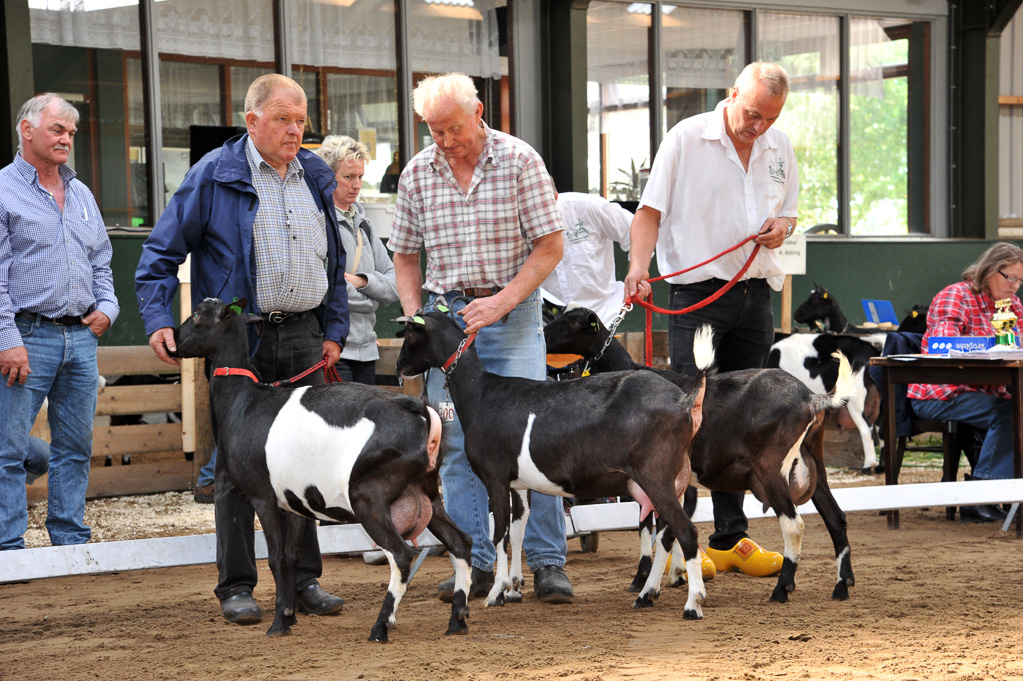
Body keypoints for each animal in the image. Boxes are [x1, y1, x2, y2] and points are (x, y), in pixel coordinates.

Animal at [169, 296, 472, 638]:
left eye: (197, 315)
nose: (172, 341)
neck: (245, 402)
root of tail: (420, 410)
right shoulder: (295, 503)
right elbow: (290, 556)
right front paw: (289, 616)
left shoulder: (263, 496)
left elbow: (275, 558)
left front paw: (278, 623)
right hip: (427, 492)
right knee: (460, 542)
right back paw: (457, 620)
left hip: (369, 496)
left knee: (401, 554)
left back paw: (381, 626)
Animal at [394, 310, 716, 617]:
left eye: (409, 335)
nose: (399, 368)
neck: (481, 393)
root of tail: (685, 400)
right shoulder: (519, 484)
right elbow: (518, 530)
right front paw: (514, 588)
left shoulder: (495, 477)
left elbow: (500, 534)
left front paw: (496, 594)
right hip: (670, 481)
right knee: (666, 534)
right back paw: (647, 595)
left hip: (656, 476)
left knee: (686, 532)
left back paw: (692, 604)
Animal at [540, 306, 859, 601]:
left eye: (573, 322)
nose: (543, 336)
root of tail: (812, 397)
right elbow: (669, 528)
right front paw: (678, 575)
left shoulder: (646, 474)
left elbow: (647, 527)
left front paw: (643, 580)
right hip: (813, 461)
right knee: (836, 518)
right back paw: (841, 586)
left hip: (772, 467)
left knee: (794, 525)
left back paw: (782, 589)